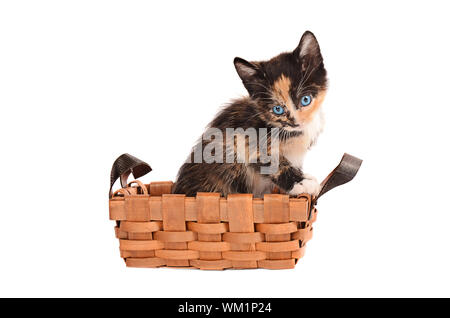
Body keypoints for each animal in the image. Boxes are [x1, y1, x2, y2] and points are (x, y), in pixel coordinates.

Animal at [172, 31, 326, 196]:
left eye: (305, 100)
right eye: (277, 109)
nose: (296, 123)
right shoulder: (244, 136)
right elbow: (270, 160)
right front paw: (302, 182)